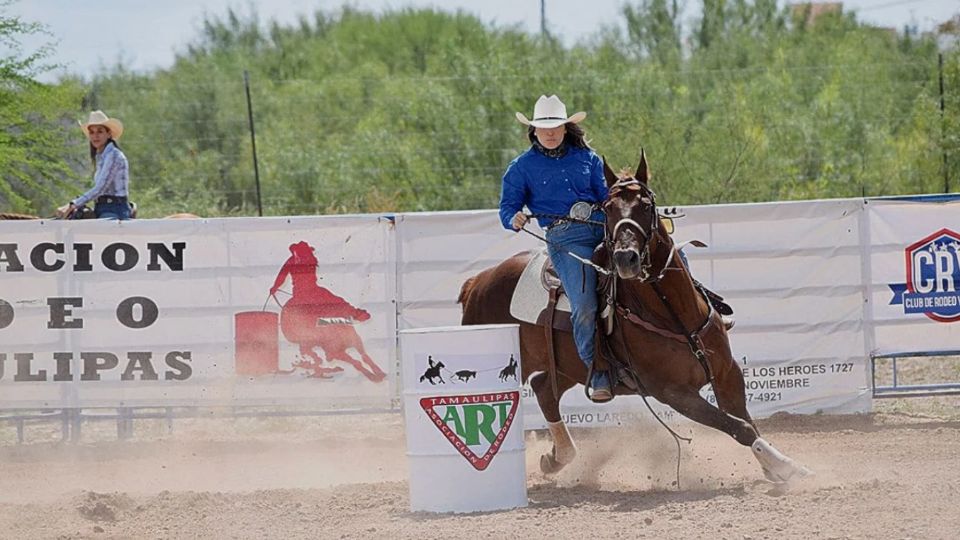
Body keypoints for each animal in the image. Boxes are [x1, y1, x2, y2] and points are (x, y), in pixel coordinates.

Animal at [458, 150, 808, 484]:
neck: (674, 314)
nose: (626, 258)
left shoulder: (727, 372)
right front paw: (789, 469)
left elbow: (748, 423)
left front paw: (779, 466)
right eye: (609, 208)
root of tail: (479, 281)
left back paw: (558, 458)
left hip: (569, 365)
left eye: (646, 205)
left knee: (544, 388)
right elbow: (739, 427)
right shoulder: (674, 393)